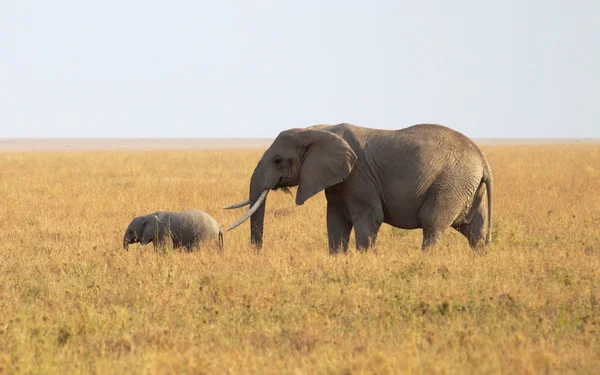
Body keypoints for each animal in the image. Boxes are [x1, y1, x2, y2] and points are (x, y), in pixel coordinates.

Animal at [224, 123, 492, 256]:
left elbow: (369, 218)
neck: (315, 129)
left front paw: (364, 260)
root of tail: (483, 160)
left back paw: (426, 261)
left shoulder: (358, 175)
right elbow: (335, 221)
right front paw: (337, 259)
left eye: (278, 160)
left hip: (451, 183)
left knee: (433, 224)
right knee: (474, 230)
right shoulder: (336, 180)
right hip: (468, 186)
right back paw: (479, 259)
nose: (257, 255)